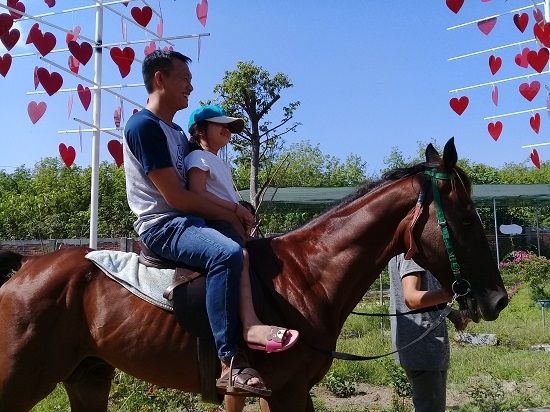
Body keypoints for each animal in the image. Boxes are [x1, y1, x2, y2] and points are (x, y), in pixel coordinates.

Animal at [0, 139, 508, 412]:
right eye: (467, 222)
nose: (497, 299)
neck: (307, 278)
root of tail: (23, 268)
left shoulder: (295, 392)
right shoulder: (282, 392)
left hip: (88, 376)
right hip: (21, 379)